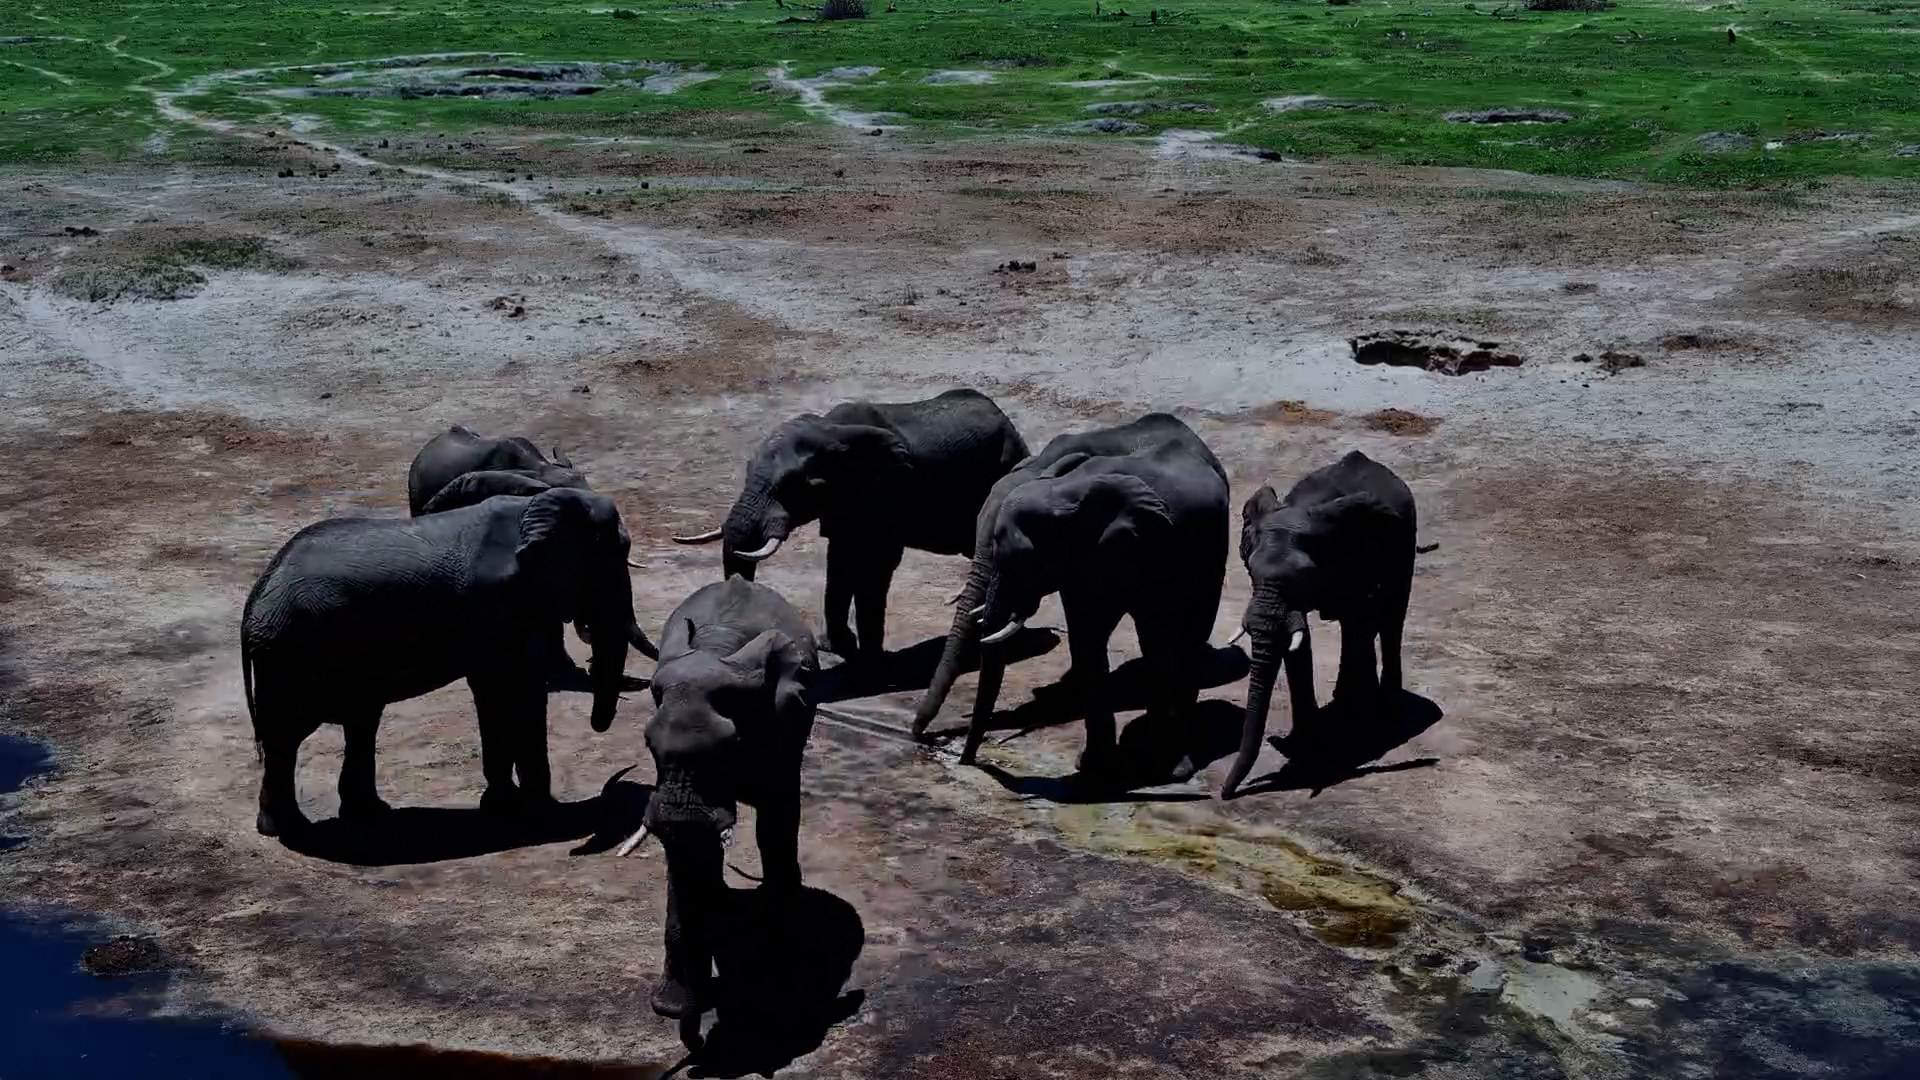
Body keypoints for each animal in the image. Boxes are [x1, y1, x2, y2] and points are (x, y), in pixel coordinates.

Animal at [240, 487, 657, 837]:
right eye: (615, 558)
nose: (599, 724)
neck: (533, 509)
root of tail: (254, 599)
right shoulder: (498, 608)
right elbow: (508, 690)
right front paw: (540, 815)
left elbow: (509, 692)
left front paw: (511, 808)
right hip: (289, 657)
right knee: (288, 735)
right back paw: (288, 829)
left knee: (359, 722)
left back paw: (367, 815)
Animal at [637, 576, 818, 1047]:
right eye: (648, 744)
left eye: (731, 745)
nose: (698, 1036)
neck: (717, 652)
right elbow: (684, 859)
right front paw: (671, 1007)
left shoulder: (780, 727)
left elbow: (776, 822)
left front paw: (777, 989)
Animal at [671, 389, 1028, 669]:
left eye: (792, 486)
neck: (831, 432)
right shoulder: (842, 507)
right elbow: (840, 563)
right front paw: (838, 647)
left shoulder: (887, 494)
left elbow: (875, 566)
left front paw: (872, 661)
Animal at [1219, 450, 1418, 799]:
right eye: (1252, 572)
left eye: (1303, 576)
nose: (1224, 794)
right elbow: (1299, 640)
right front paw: (1306, 742)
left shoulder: (1359, 561)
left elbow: (1358, 621)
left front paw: (1354, 732)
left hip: (1404, 550)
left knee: (1389, 617)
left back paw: (1382, 706)